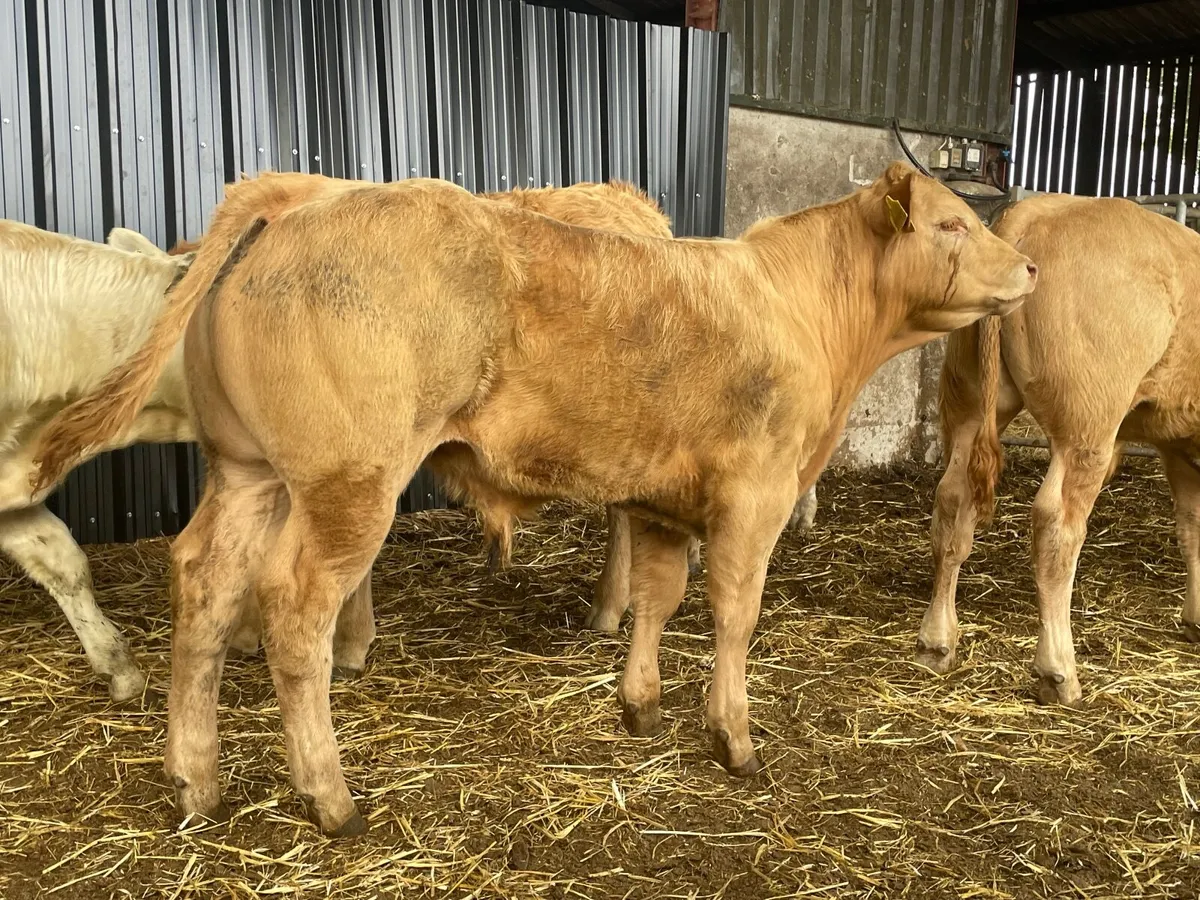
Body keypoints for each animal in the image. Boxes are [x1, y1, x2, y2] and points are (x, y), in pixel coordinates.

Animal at [31, 162, 1037, 836]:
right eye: (952, 225)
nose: (1027, 268)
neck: (797, 307)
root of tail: (299, 195)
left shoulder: (660, 498)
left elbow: (657, 598)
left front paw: (639, 709)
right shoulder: (755, 494)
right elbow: (733, 612)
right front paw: (734, 738)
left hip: (250, 474)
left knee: (203, 586)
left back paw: (194, 780)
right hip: (347, 486)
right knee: (293, 609)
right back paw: (331, 795)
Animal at [916, 193, 1200, 706]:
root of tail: (1029, 214)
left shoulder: (1177, 441)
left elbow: (1191, 527)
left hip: (971, 402)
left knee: (952, 501)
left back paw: (937, 641)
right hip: (1086, 428)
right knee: (1056, 525)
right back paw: (1058, 671)